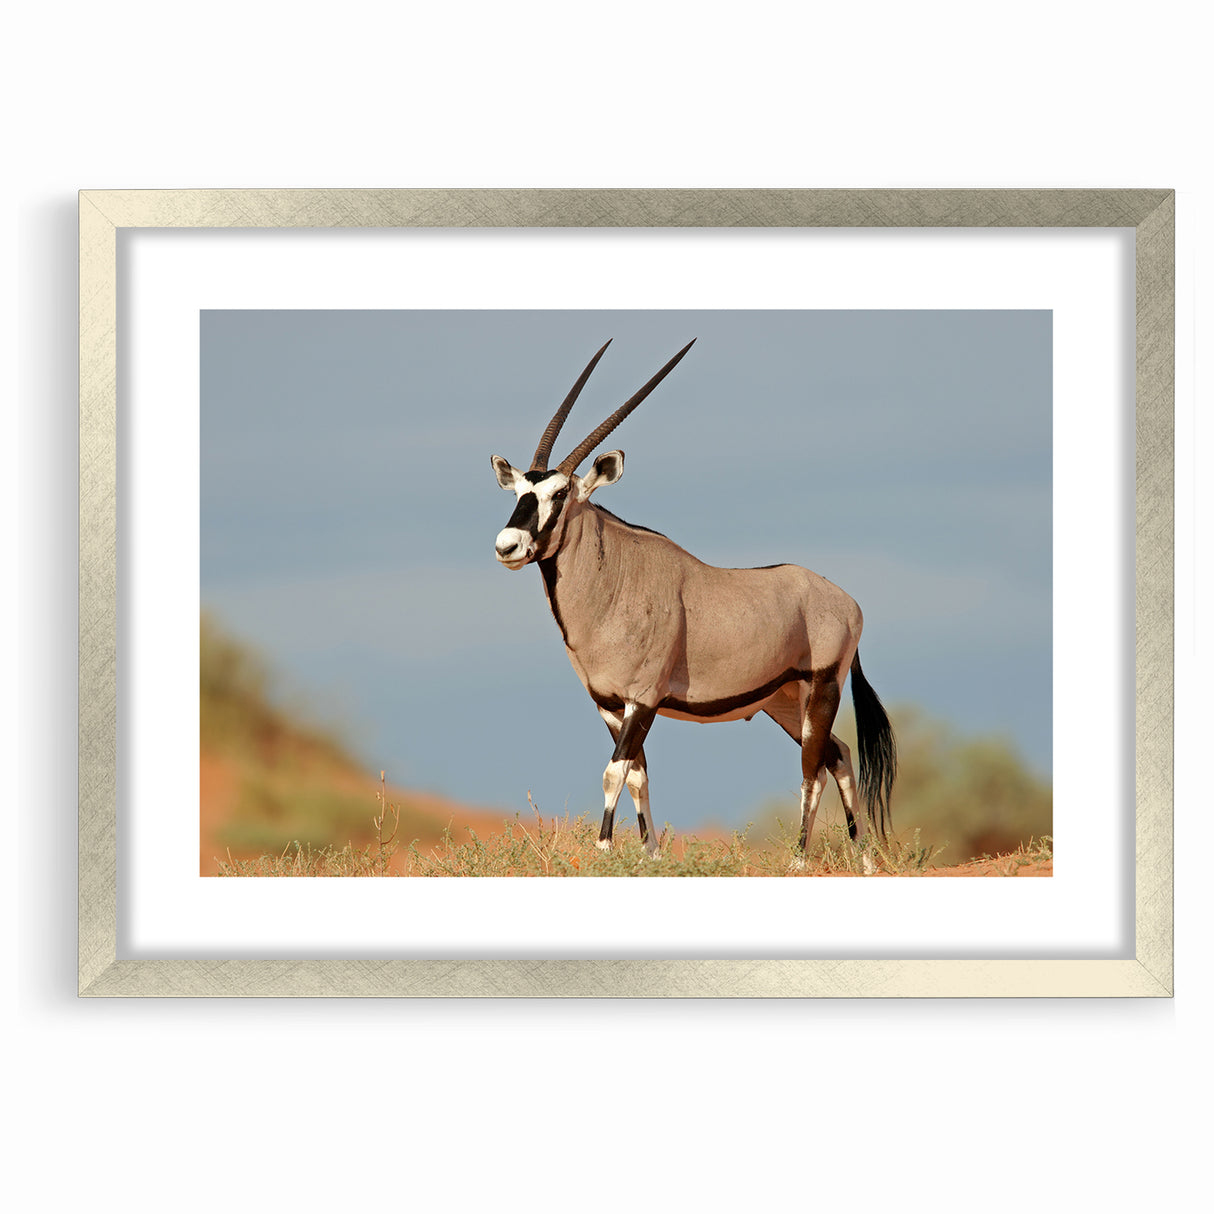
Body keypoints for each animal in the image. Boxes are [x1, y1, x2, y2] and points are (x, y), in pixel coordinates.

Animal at [490, 340, 896, 858]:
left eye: (559, 493)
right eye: (519, 491)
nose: (508, 546)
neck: (615, 580)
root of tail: (846, 602)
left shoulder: (643, 699)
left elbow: (614, 772)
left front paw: (604, 850)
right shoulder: (610, 705)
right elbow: (637, 775)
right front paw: (650, 855)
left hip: (822, 687)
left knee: (813, 769)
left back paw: (800, 860)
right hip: (785, 700)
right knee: (838, 755)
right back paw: (864, 860)